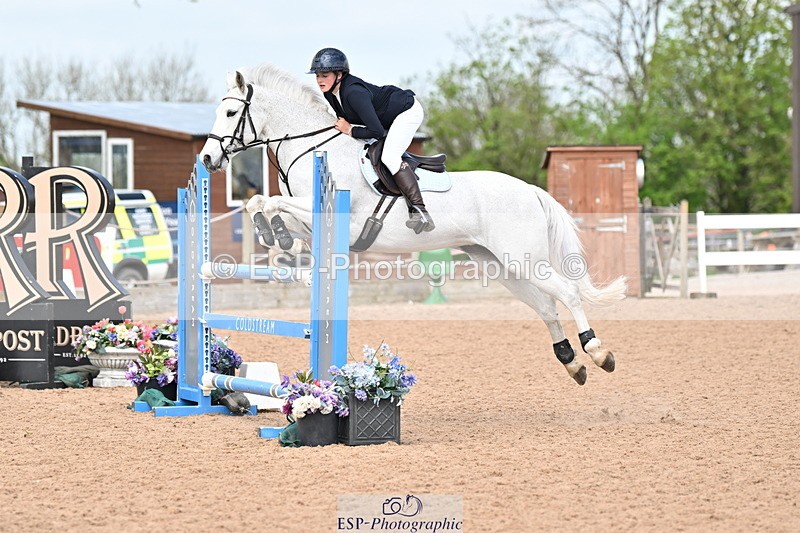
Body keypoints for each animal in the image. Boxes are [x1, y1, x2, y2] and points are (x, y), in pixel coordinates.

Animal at [199, 64, 626, 385]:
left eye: (231, 114)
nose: (206, 159)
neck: (313, 147)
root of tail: (531, 191)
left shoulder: (335, 215)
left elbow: (270, 200)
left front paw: (276, 234)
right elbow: (264, 203)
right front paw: (278, 237)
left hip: (523, 257)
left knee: (567, 293)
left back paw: (598, 352)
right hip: (499, 263)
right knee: (546, 307)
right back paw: (573, 363)